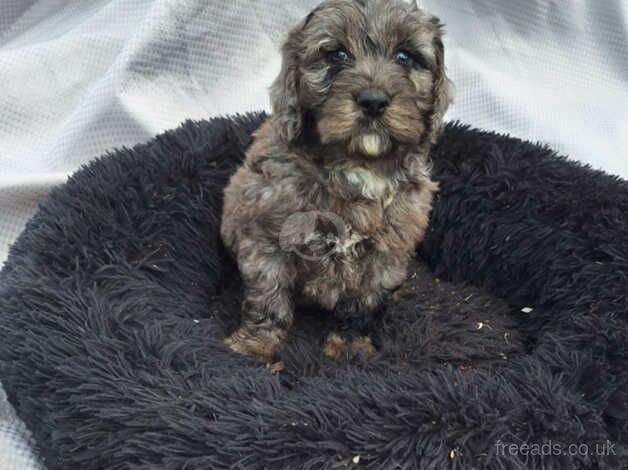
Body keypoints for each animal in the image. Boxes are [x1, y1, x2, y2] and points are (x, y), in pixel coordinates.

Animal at [220, 0, 452, 362]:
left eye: (405, 57)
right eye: (337, 55)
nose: (373, 100)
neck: (357, 164)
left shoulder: (385, 254)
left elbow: (362, 302)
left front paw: (349, 342)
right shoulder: (265, 235)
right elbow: (268, 295)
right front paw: (254, 345)